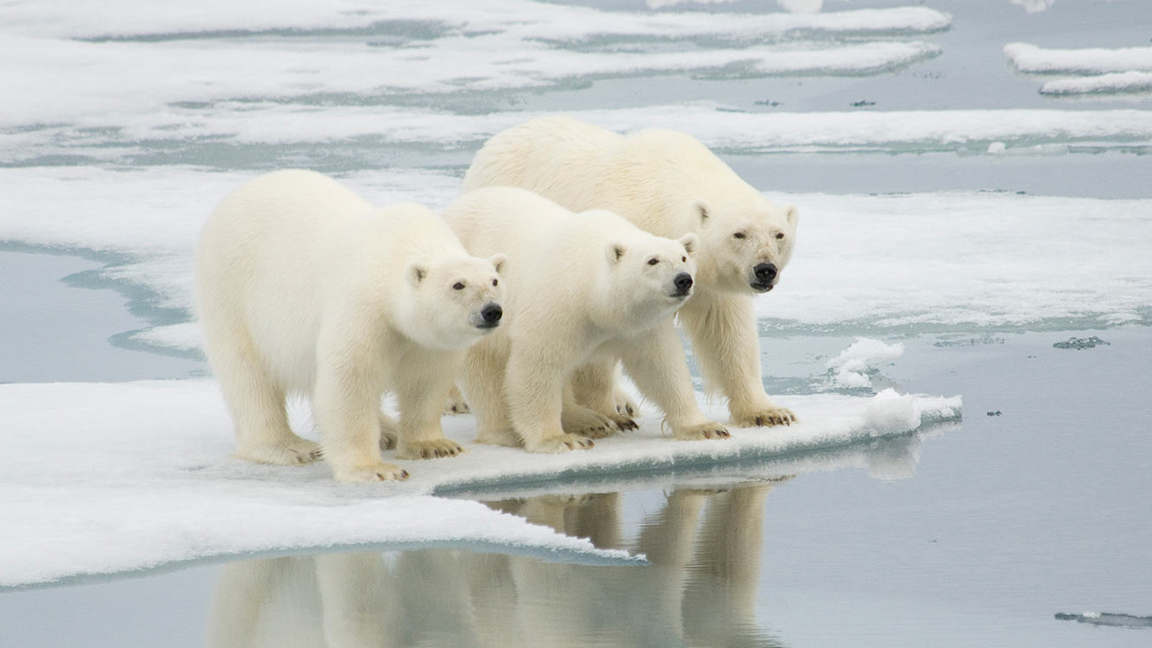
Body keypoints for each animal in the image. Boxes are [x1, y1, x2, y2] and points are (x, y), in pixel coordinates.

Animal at [194, 169, 504, 481]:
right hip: (231, 293)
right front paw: (375, 470)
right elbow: (350, 378)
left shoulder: (428, 340)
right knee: (248, 376)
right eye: (458, 285)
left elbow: (426, 379)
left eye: (494, 281)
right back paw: (289, 447)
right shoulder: (363, 306)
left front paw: (435, 446)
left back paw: (388, 430)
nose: (492, 311)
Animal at [442, 184, 728, 451]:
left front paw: (705, 427)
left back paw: (598, 419)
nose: (683, 280)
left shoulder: (640, 326)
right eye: (652, 261)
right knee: (484, 369)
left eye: (683, 257)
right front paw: (557, 439)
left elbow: (660, 367)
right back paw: (506, 430)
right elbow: (537, 368)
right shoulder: (557, 308)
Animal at [463, 115, 797, 428]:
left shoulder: (707, 281)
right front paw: (606, 412)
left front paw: (767, 412)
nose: (765, 270)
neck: (661, 196)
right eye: (738, 234)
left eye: (779, 234)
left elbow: (727, 332)